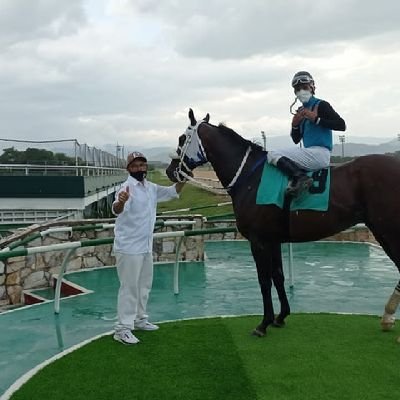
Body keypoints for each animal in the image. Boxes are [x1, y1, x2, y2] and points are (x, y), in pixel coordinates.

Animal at [165, 109, 400, 338]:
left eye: (182, 138)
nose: (170, 170)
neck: (250, 177)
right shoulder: (273, 240)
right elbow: (278, 276)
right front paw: (281, 316)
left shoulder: (258, 240)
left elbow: (264, 280)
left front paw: (264, 323)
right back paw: (387, 318)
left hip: (388, 229)